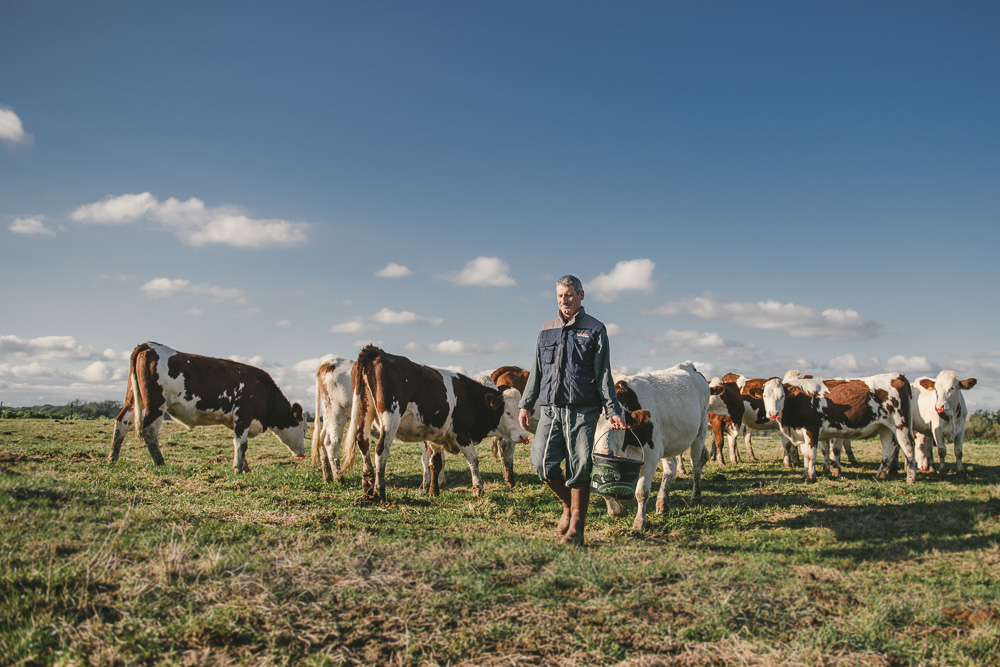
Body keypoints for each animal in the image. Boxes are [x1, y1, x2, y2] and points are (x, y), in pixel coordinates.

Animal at [109, 342, 304, 472]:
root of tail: (150, 345)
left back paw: (112, 458)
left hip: (133, 399)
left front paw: (245, 467)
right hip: (156, 405)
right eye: (304, 430)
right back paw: (160, 462)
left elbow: (242, 445)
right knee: (150, 431)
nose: (303, 453)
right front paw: (238, 468)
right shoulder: (243, 416)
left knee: (122, 422)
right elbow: (240, 444)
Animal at [340, 348, 532, 498]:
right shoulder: (461, 434)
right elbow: (473, 459)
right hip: (390, 417)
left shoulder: (436, 436)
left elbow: (435, 462)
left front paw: (434, 491)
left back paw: (368, 486)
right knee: (381, 450)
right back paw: (380, 492)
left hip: (364, 412)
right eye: (508, 412)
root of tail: (375, 352)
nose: (524, 435)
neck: (468, 398)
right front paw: (479, 489)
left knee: (363, 441)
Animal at [592, 362, 712, 528]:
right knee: (670, 468)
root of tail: (688, 366)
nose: (603, 452)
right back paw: (662, 502)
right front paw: (616, 510)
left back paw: (695, 498)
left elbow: (642, 491)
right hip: (668, 442)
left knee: (697, 465)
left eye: (619, 426)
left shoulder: (651, 454)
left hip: (701, 431)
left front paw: (639, 522)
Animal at [752, 374, 916, 482]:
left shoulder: (811, 429)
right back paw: (879, 475)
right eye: (765, 396)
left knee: (907, 446)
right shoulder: (801, 432)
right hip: (884, 427)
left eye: (782, 396)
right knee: (888, 449)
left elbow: (811, 454)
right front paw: (805, 474)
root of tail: (897, 376)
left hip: (901, 424)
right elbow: (806, 455)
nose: (773, 413)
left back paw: (911, 477)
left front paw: (811, 477)